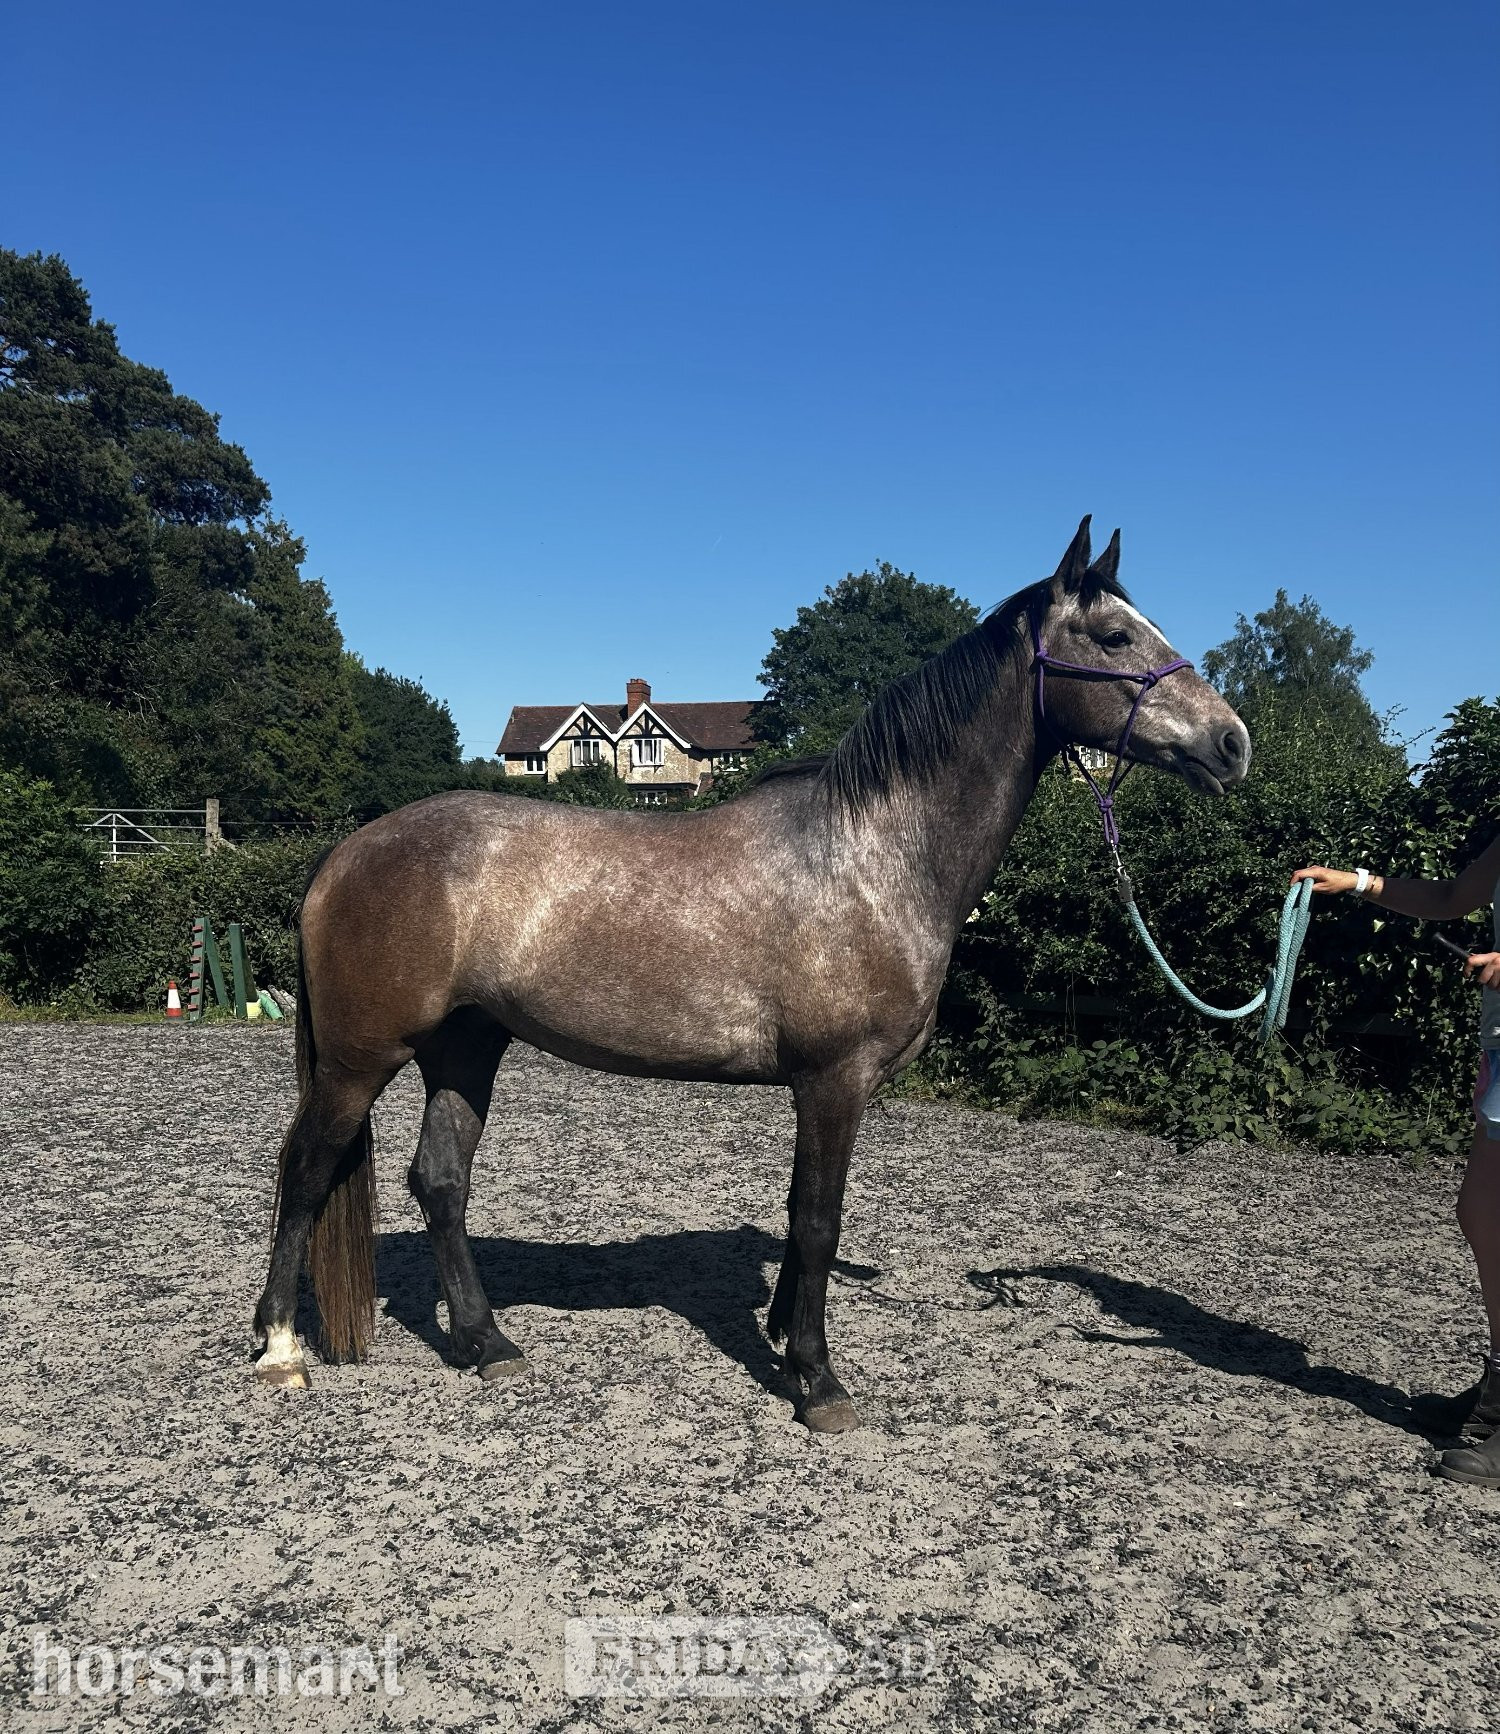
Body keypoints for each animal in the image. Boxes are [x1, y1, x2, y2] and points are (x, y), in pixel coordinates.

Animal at [252, 517, 1250, 1432]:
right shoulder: (834, 1080)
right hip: (361, 1059)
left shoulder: (821, 1087)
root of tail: (345, 851)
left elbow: (801, 1216)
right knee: (304, 1170)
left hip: (466, 1045)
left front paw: (784, 1341)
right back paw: (281, 1350)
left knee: (441, 1182)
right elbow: (817, 1220)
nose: (1233, 742)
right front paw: (817, 1381)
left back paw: (486, 1342)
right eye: (1114, 638)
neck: (871, 855)